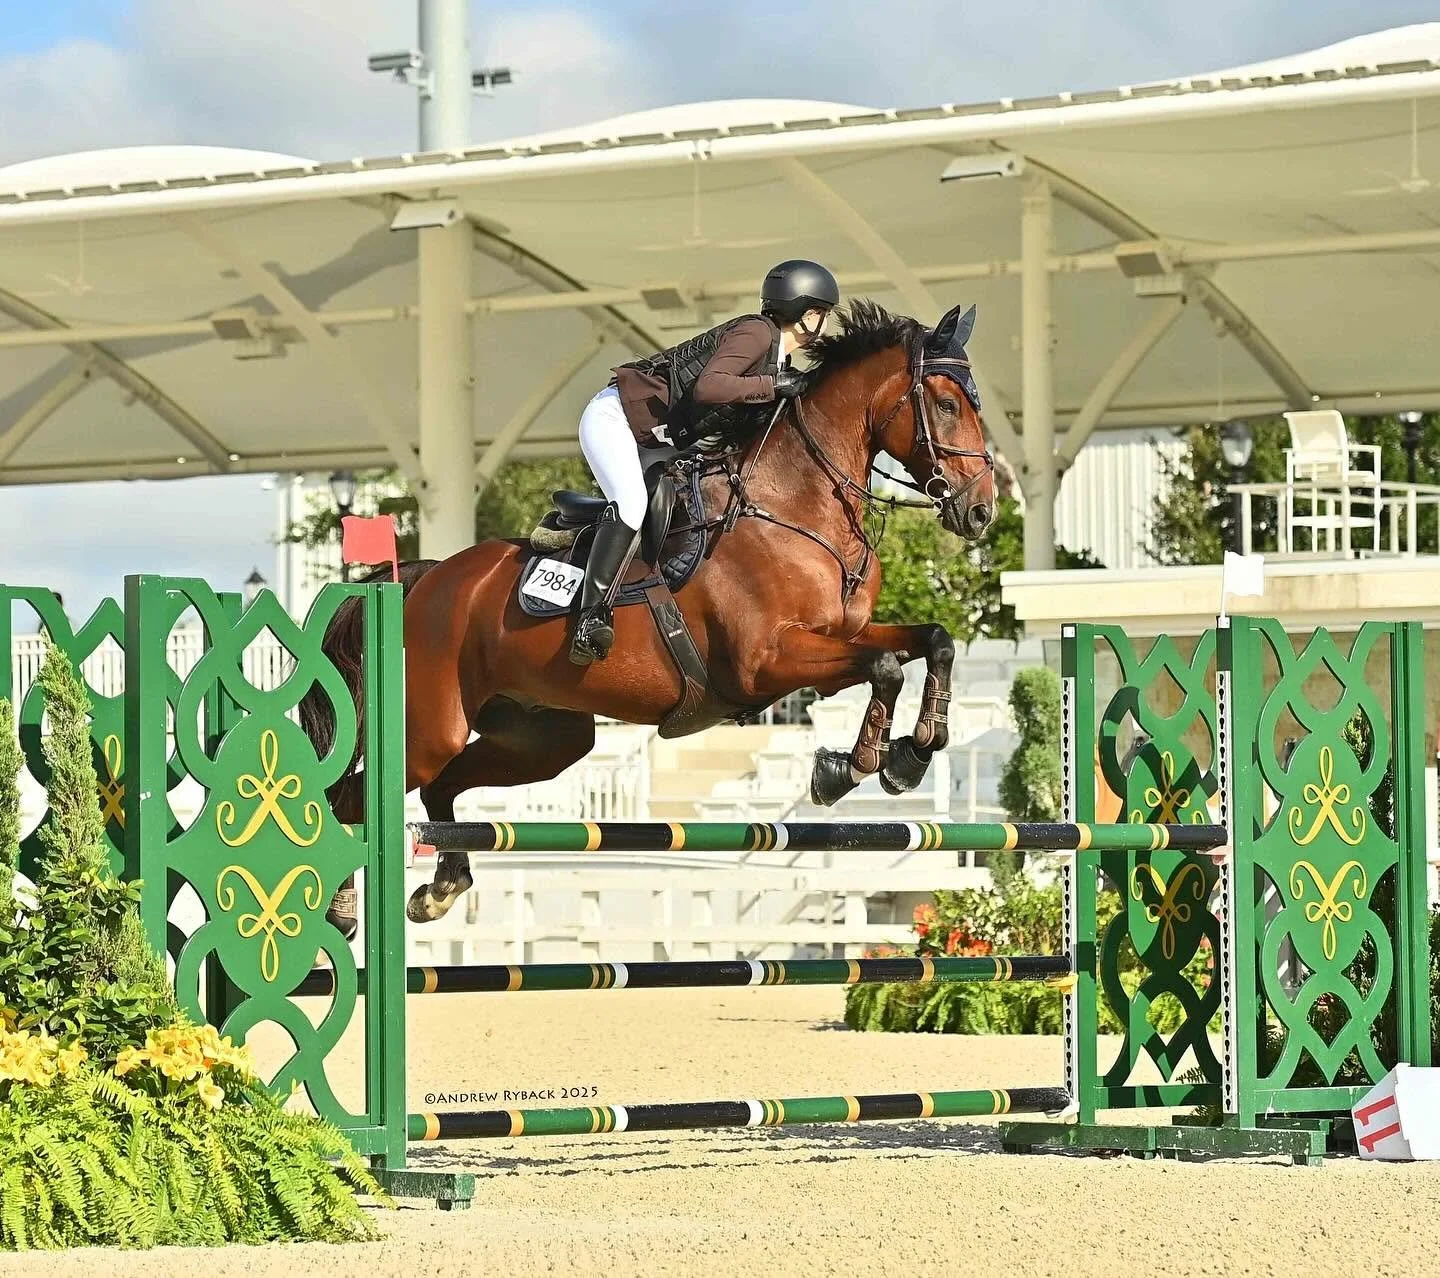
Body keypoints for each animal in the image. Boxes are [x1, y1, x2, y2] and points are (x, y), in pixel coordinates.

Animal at [305, 299, 997, 930]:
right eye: (946, 405)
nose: (981, 510)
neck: (793, 504)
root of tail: (424, 579)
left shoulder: (837, 636)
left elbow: (932, 641)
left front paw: (913, 753)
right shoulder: (766, 663)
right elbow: (884, 667)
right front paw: (846, 770)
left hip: (543, 738)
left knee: (437, 786)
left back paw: (440, 888)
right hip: (429, 727)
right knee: (351, 798)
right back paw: (341, 907)